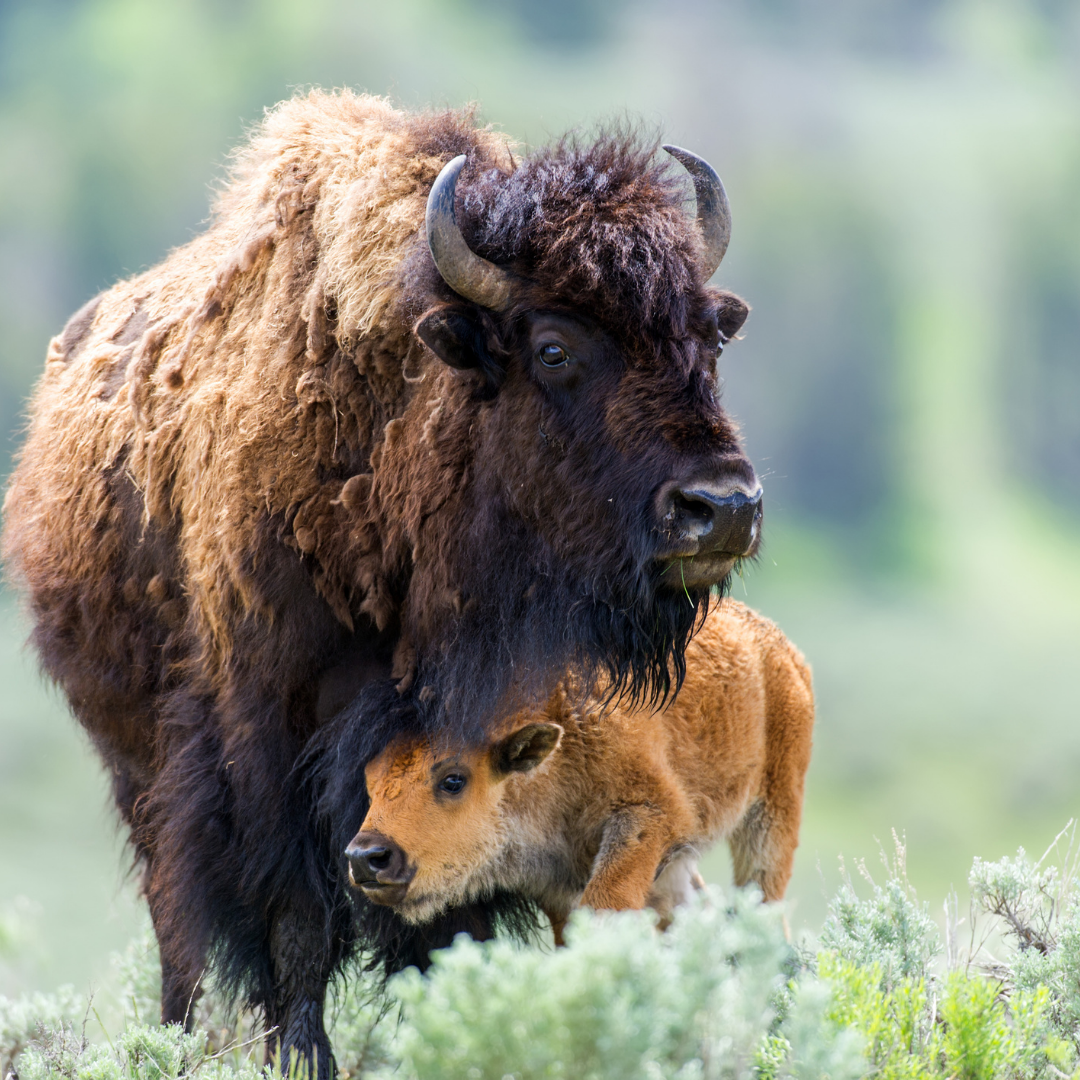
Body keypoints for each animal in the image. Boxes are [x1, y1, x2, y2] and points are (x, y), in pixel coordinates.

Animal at [3, 90, 759, 1075]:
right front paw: (303, 1054)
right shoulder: (272, 737)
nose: (724, 506)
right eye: (554, 348)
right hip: (140, 764)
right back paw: (173, 1035)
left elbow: (454, 889)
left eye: (709, 335)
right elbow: (297, 920)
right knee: (177, 915)